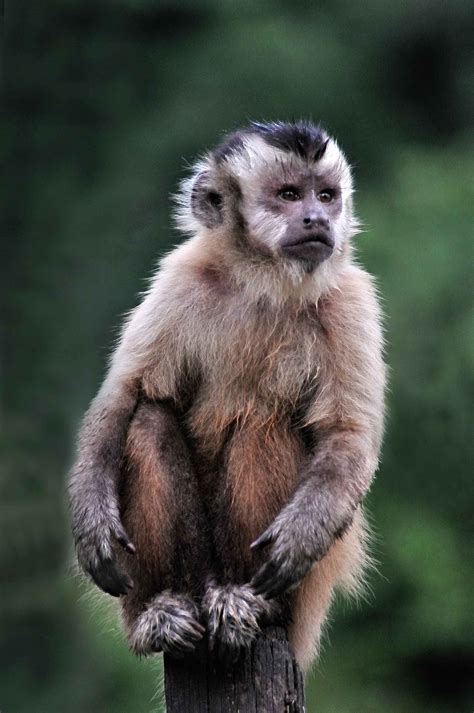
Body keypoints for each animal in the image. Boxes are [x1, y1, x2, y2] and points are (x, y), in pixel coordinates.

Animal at [71, 119, 388, 672]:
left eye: (326, 196)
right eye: (289, 195)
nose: (316, 218)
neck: (262, 283)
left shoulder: (351, 299)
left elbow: (347, 435)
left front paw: (300, 539)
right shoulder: (179, 278)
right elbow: (123, 397)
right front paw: (92, 525)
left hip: (309, 594)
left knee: (263, 424)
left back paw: (249, 604)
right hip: (194, 572)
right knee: (148, 419)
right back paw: (161, 611)